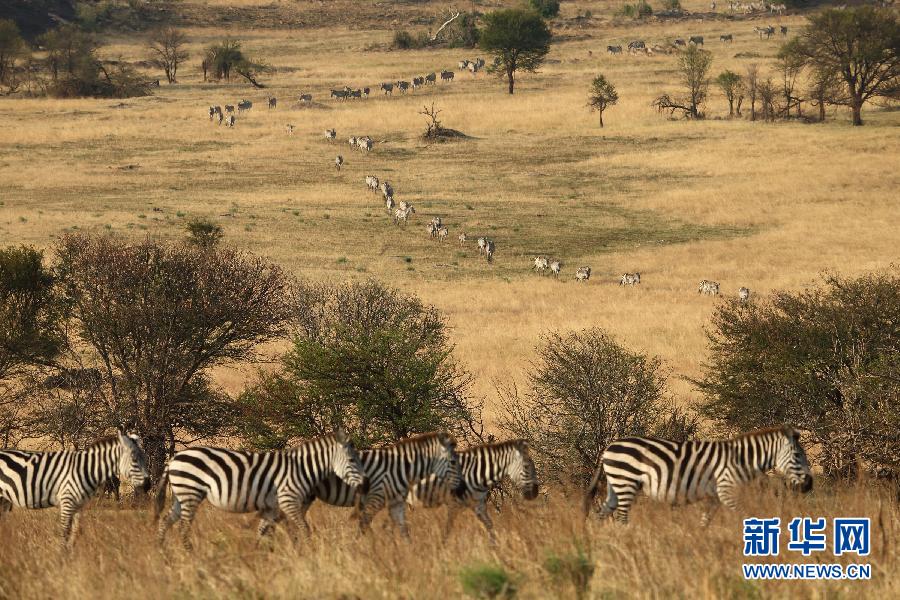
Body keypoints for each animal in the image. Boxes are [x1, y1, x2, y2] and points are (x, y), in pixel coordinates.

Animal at [0, 432, 149, 548]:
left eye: (144, 458)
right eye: (134, 459)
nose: (148, 485)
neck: (86, 469)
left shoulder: (79, 505)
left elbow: (76, 531)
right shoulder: (67, 500)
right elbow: (64, 532)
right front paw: (62, 558)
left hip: (4, 500)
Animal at [156, 428, 370, 552]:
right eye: (352, 460)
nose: (366, 484)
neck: (301, 468)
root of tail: (173, 459)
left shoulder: (272, 507)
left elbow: (265, 532)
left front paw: (260, 556)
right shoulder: (288, 500)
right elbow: (302, 528)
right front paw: (309, 553)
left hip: (181, 495)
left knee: (166, 520)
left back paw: (161, 552)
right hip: (190, 491)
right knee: (183, 527)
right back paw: (190, 555)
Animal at [410, 440, 540, 544]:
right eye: (527, 467)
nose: (535, 493)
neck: (476, 473)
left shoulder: (478, 504)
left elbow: (489, 524)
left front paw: (494, 546)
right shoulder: (453, 504)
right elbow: (448, 527)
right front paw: (443, 546)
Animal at [584, 424, 816, 524]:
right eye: (797, 455)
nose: (809, 485)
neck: (741, 459)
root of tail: (608, 448)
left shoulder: (714, 496)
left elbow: (705, 522)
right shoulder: (726, 490)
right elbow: (745, 515)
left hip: (616, 485)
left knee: (601, 514)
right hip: (627, 481)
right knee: (621, 516)